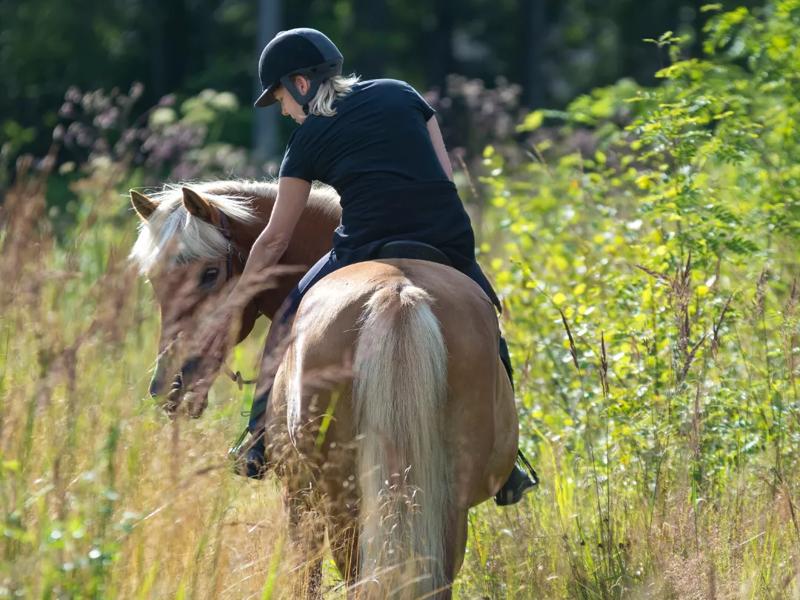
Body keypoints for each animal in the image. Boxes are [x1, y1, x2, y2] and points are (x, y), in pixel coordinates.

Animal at [130, 180, 520, 596]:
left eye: (210, 272)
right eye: (154, 280)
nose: (169, 385)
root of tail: (396, 293)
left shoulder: (297, 495)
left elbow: (307, 576)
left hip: (342, 501)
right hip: (444, 505)